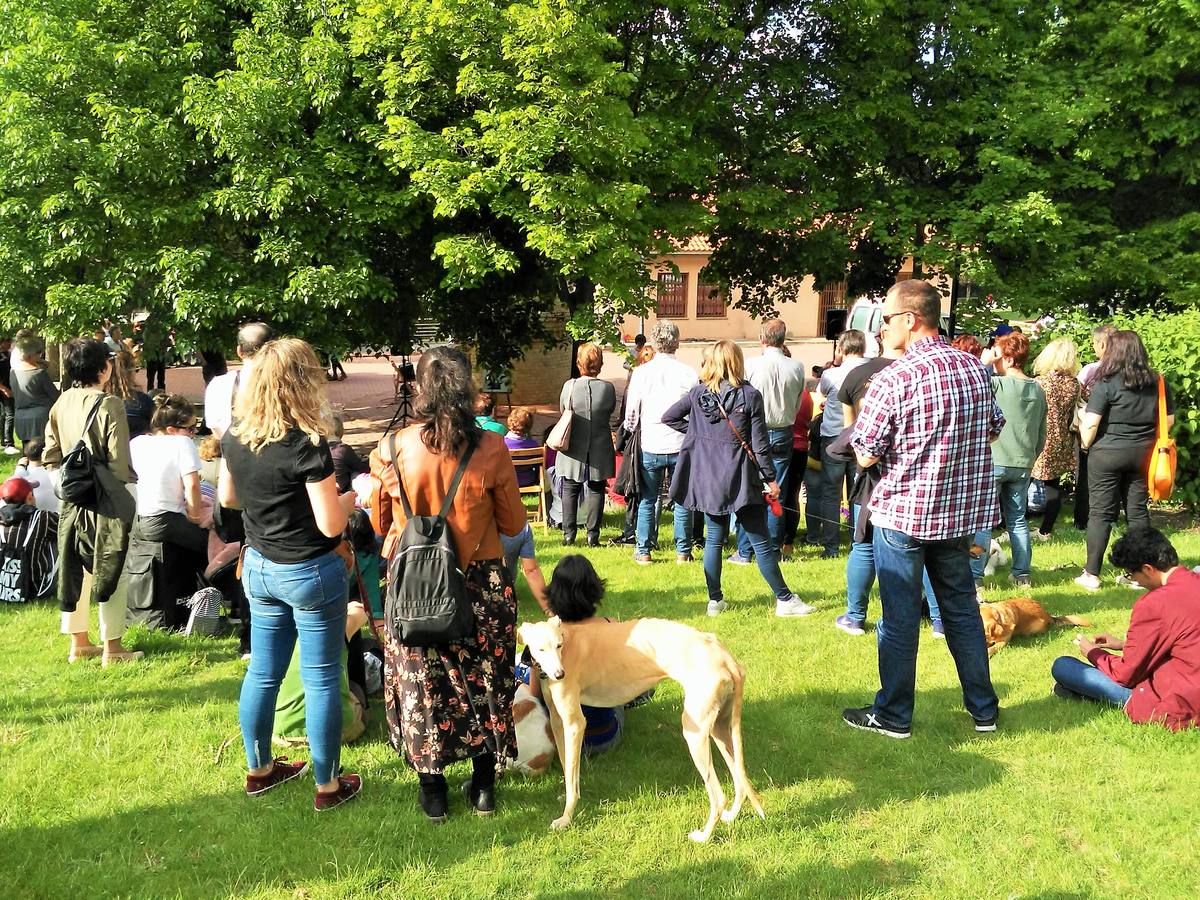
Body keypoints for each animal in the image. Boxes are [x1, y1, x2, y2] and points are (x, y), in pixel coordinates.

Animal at [513, 619, 758, 844]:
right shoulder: (557, 722)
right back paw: (731, 817)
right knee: (740, 782)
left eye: (559, 645)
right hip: (720, 729)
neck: (569, 643)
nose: (559, 674)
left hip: (695, 733)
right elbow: (569, 771)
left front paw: (565, 819)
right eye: (541, 649)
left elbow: (573, 779)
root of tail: (726, 657)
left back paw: (704, 836)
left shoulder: (574, 724)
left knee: (719, 797)